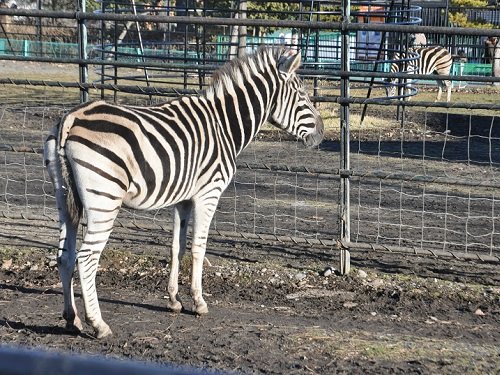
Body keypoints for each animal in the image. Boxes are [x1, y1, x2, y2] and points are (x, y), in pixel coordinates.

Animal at [43, 45, 324, 340]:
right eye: (302, 94)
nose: (322, 133)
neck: (224, 125)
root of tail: (73, 117)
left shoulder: (183, 199)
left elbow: (176, 247)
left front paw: (174, 300)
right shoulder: (208, 193)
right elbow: (199, 246)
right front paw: (199, 302)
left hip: (64, 198)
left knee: (65, 256)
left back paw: (71, 319)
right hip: (104, 200)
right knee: (86, 258)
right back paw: (98, 324)